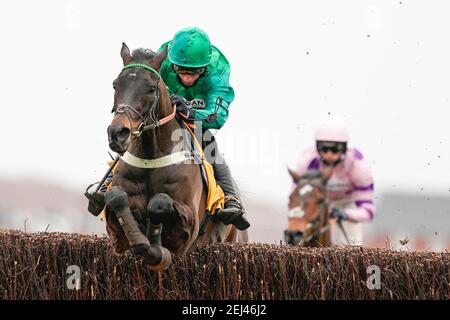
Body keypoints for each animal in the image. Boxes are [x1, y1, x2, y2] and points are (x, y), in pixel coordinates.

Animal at [103, 43, 244, 272]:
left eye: (151, 89)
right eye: (116, 85)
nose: (118, 133)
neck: (151, 157)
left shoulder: (188, 226)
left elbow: (160, 203)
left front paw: (155, 249)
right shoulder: (116, 236)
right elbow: (116, 197)